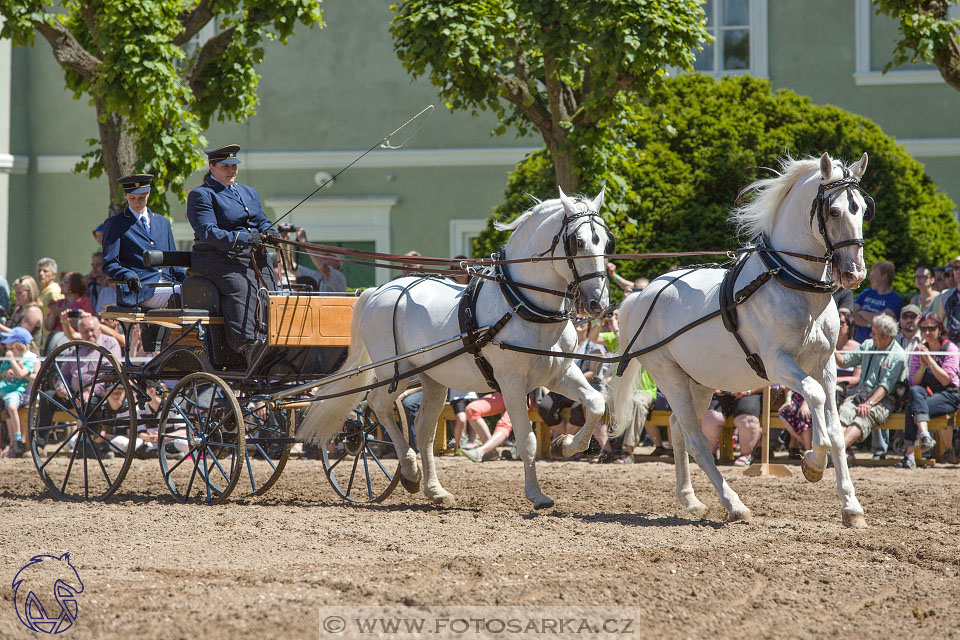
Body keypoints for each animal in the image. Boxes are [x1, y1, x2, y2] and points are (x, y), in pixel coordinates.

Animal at [300, 188, 612, 508]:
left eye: (606, 241)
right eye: (578, 241)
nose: (598, 302)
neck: (520, 305)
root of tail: (377, 291)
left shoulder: (558, 373)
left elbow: (596, 403)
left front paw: (566, 445)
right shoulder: (511, 383)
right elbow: (527, 440)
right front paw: (537, 495)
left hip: (433, 378)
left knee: (423, 428)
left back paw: (434, 489)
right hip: (393, 372)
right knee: (379, 406)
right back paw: (409, 470)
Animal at [616, 152, 872, 528]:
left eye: (863, 210)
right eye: (835, 211)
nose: (854, 274)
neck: (791, 282)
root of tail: (643, 294)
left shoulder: (824, 365)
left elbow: (837, 431)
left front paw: (851, 507)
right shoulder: (779, 365)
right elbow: (813, 397)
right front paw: (812, 463)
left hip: (700, 382)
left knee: (678, 428)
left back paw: (690, 499)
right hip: (669, 375)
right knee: (696, 439)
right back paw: (734, 504)